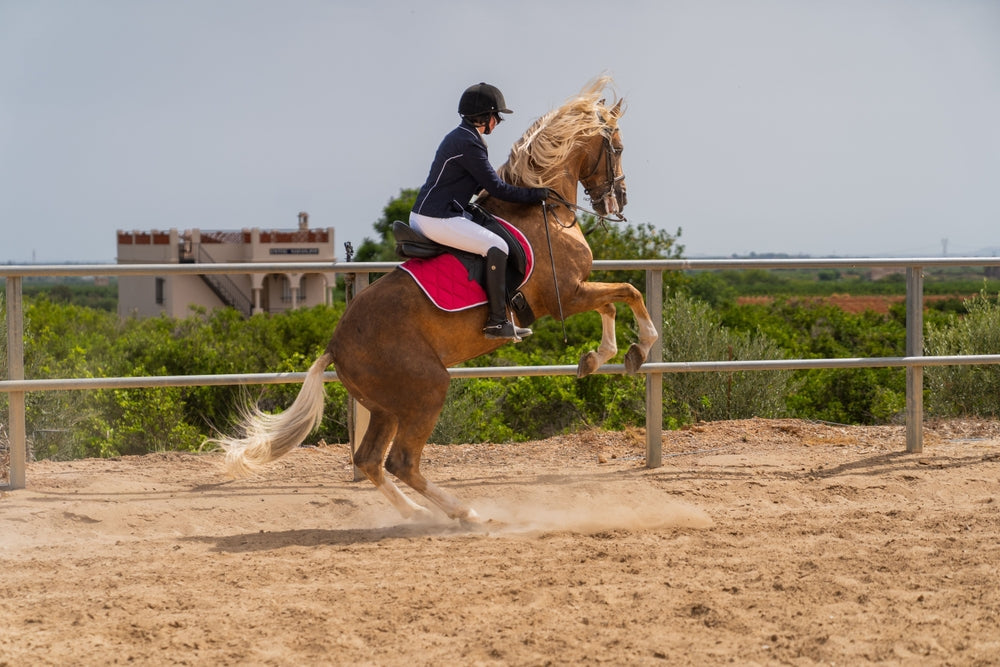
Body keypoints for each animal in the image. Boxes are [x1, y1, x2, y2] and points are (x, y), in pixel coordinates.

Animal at [213, 76, 659, 524]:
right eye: (617, 148)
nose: (618, 201)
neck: (544, 210)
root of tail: (335, 346)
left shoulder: (576, 291)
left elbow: (612, 304)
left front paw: (597, 358)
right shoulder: (565, 294)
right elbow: (630, 292)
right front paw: (638, 350)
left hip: (386, 407)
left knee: (370, 460)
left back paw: (416, 513)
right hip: (427, 389)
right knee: (401, 461)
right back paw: (466, 513)